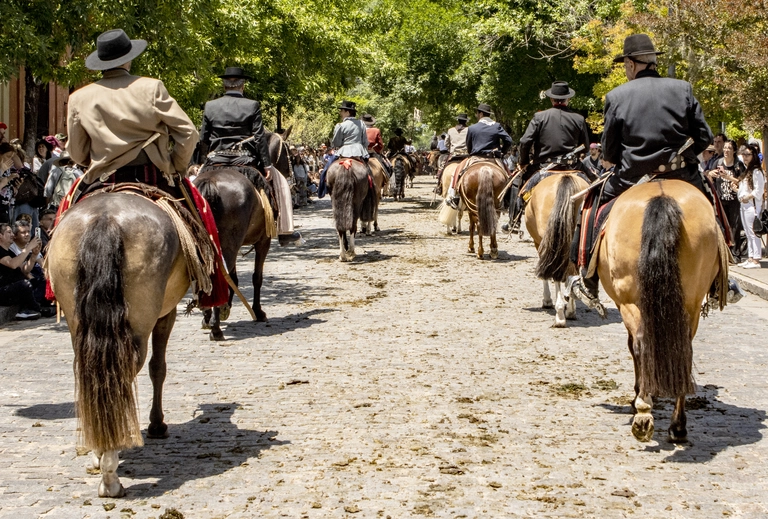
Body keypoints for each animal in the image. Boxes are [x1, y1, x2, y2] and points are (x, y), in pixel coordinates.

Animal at [46, 193, 192, 498]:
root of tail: (106, 218)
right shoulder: (166, 313)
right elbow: (158, 368)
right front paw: (157, 424)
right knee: (121, 375)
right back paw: (110, 474)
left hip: (80, 324)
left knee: (91, 376)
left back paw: (100, 452)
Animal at [596, 181, 728, 444]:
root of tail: (662, 195)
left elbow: (634, 347)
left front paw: (641, 396)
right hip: (691, 301)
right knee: (683, 349)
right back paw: (678, 426)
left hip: (630, 301)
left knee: (642, 344)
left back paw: (643, 413)